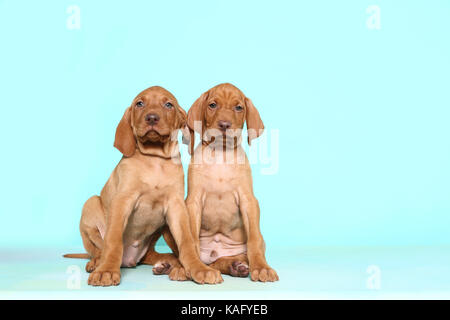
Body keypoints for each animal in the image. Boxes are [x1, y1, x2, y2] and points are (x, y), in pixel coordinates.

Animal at [63, 86, 223, 286]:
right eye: (140, 103)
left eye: (168, 104)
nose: (152, 118)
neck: (155, 160)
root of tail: (130, 260)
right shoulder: (122, 200)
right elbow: (113, 240)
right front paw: (107, 270)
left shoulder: (176, 206)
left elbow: (187, 242)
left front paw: (199, 268)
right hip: (90, 204)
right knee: (97, 249)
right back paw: (97, 262)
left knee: (158, 255)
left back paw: (171, 264)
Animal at [183, 84, 278, 282]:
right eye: (212, 105)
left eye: (239, 107)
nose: (225, 125)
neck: (221, 153)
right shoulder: (193, 202)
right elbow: (192, 240)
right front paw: (193, 268)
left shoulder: (248, 201)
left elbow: (254, 241)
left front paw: (262, 268)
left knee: (228, 259)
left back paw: (237, 266)